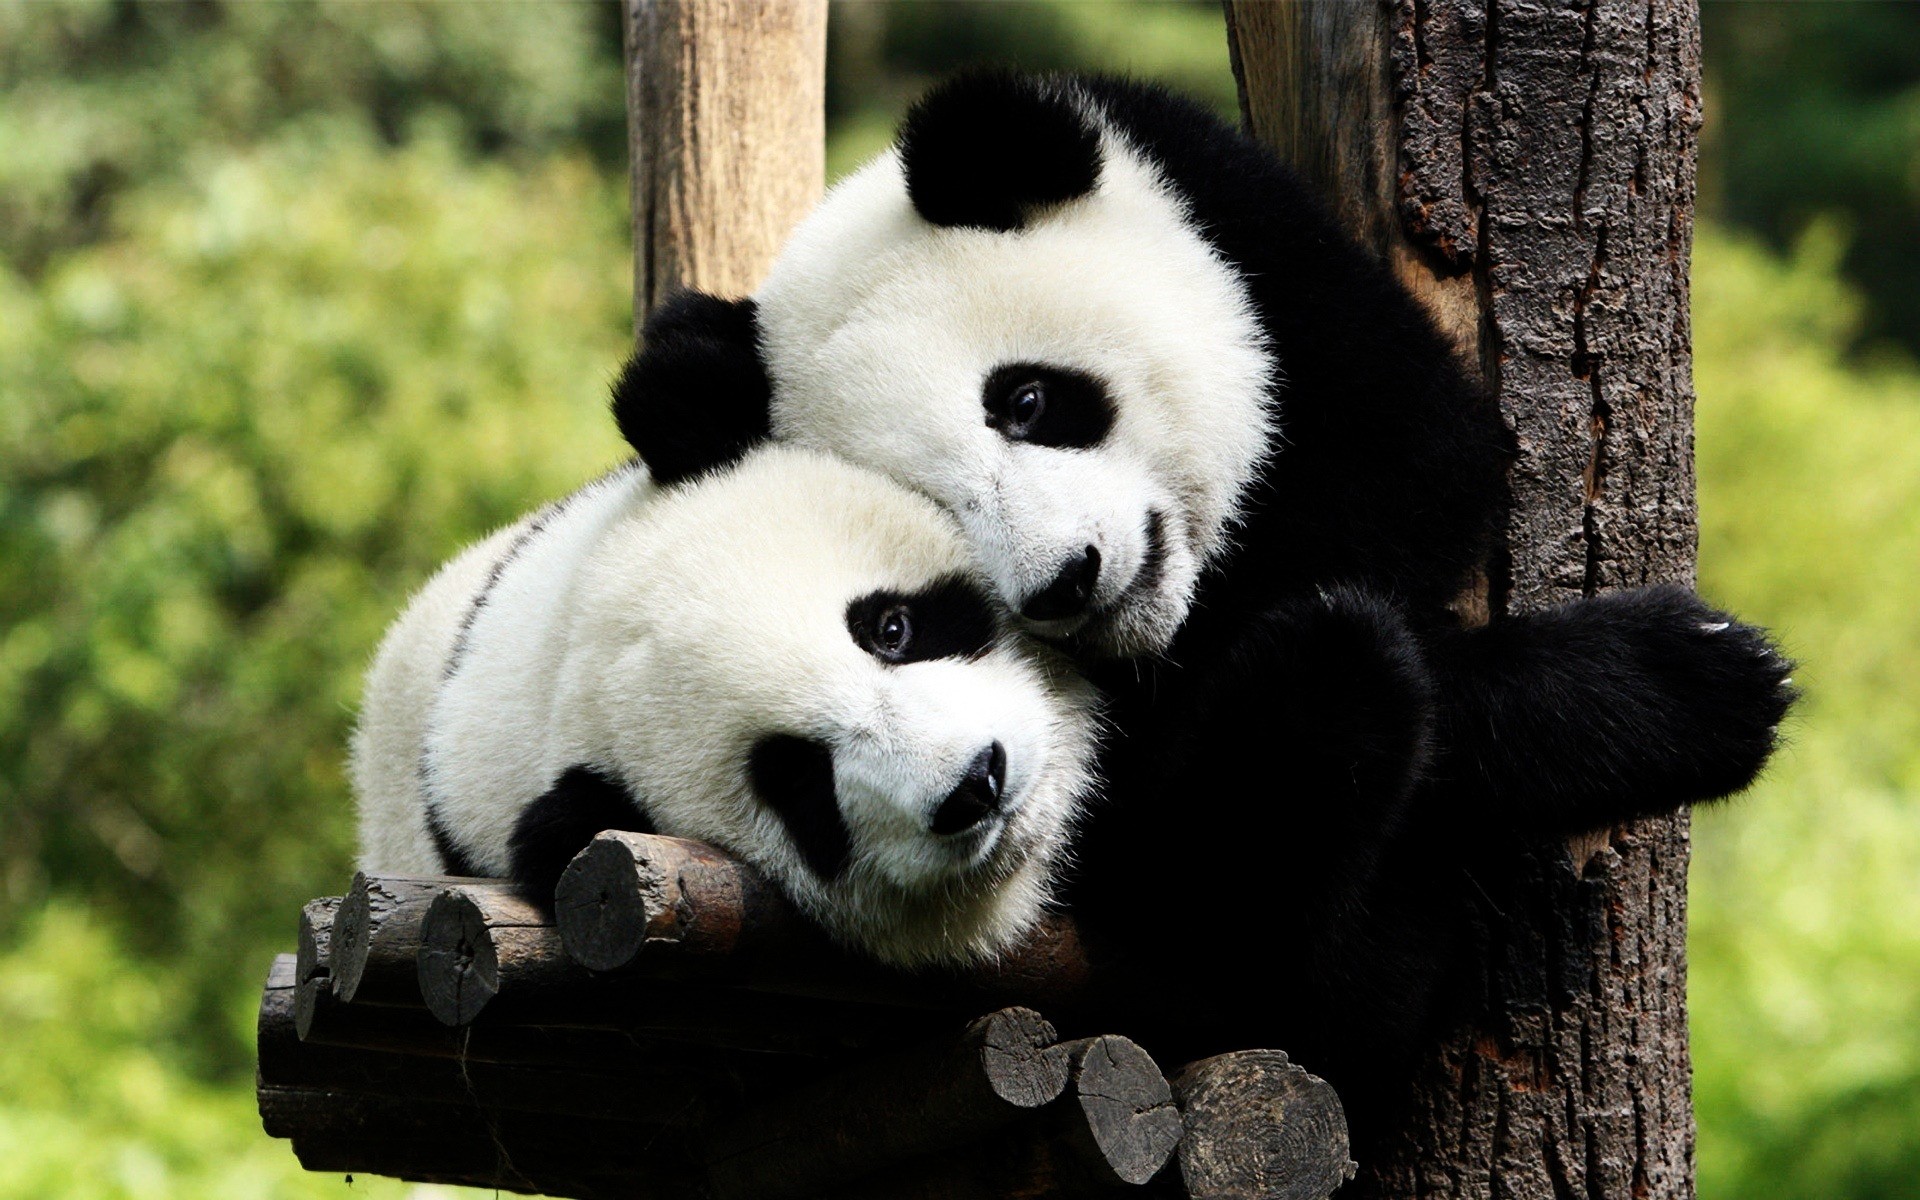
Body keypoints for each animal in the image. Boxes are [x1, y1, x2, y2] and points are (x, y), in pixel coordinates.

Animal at [614, 77, 1797, 1113]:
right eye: (934, 507)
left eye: (1027, 400)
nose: (1067, 581)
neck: (1178, 617)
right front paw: (1692, 683)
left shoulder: (1267, 261)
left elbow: (1419, 470)